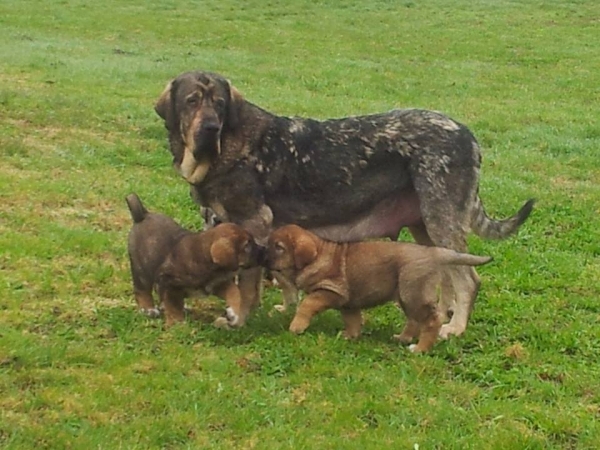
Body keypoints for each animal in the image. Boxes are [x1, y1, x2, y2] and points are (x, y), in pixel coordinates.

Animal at [125, 193, 262, 326]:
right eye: (247, 246)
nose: (264, 250)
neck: (204, 257)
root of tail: (143, 215)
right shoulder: (168, 282)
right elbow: (173, 305)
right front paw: (177, 325)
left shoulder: (218, 284)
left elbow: (234, 292)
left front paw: (234, 313)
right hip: (141, 269)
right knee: (142, 290)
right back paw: (148, 309)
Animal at [155, 69, 536, 338]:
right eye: (191, 101)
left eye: (219, 103)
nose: (210, 128)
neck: (229, 145)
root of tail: (468, 136)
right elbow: (281, 280)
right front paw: (284, 307)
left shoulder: (254, 223)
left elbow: (249, 288)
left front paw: (240, 320)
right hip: (426, 226)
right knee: (447, 273)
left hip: (440, 218)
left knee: (468, 279)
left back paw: (454, 328)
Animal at [264, 225, 490, 352]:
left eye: (278, 247)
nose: (261, 254)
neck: (317, 255)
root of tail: (433, 253)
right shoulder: (349, 302)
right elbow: (352, 320)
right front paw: (350, 336)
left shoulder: (330, 292)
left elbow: (307, 304)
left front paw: (297, 326)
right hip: (406, 296)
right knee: (415, 320)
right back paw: (403, 338)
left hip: (413, 294)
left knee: (431, 321)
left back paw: (419, 349)